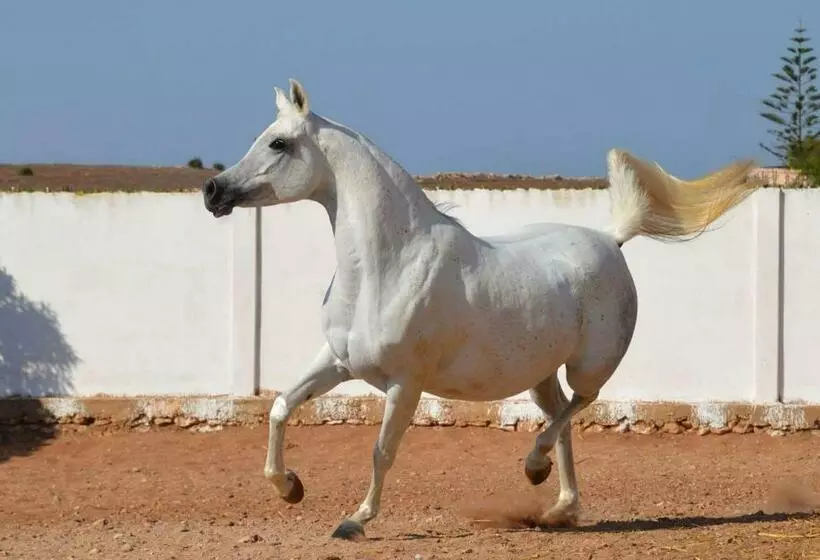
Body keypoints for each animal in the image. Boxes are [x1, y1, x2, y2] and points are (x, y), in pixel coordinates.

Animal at [201, 79, 761, 540]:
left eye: (279, 143)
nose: (212, 191)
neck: (389, 265)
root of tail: (611, 239)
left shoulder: (405, 382)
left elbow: (382, 450)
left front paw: (354, 521)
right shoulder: (338, 362)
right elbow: (280, 406)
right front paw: (289, 487)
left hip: (589, 364)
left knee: (579, 405)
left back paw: (534, 468)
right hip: (539, 374)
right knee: (562, 419)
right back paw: (558, 508)